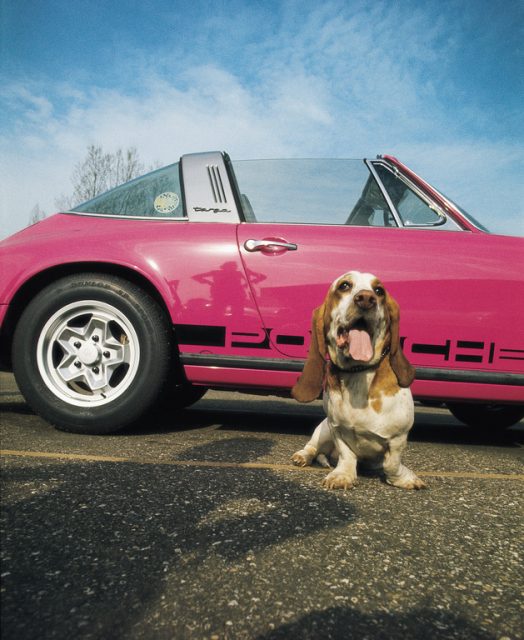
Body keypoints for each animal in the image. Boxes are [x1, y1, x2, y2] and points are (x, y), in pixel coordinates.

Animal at [290, 270, 426, 490]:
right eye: (344, 286)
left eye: (379, 291)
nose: (366, 299)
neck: (358, 372)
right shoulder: (336, 430)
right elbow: (347, 456)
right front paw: (342, 475)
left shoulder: (398, 438)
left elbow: (391, 464)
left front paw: (405, 478)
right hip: (323, 429)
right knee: (312, 447)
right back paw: (302, 456)